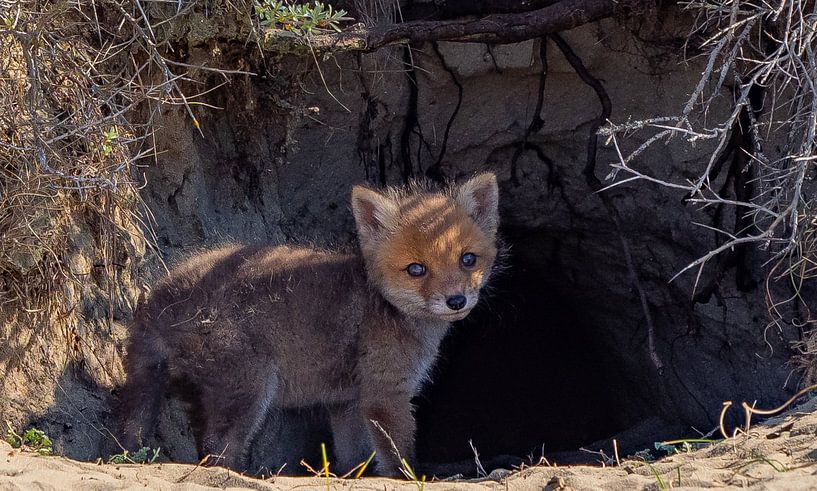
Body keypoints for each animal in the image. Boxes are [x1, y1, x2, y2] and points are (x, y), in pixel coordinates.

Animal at [116, 172, 501, 476]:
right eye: (416, 269)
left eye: (468, 259)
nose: (456, 301)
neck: (383, 304)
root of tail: (161, 298)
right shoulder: (384, 392)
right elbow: (399, 457)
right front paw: (411, 478)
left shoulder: (348, 402)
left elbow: (352, 456)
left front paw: (351, 477)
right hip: (250, 388)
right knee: (217, 449)